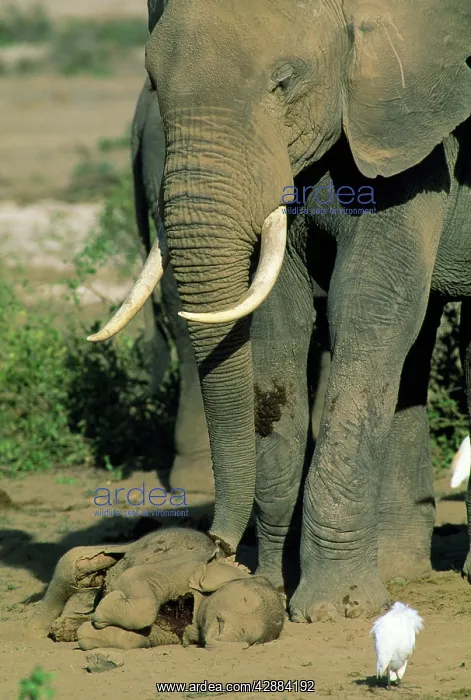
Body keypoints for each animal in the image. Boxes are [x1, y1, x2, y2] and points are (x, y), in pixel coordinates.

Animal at [88, 0, 471, 624]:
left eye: (284, 81)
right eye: (154, 84)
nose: (217, 551)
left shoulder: (411, 127)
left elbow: (368, 308)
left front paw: (335, 610)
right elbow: (280, 318)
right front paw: (269, 585)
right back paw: (401, 572)